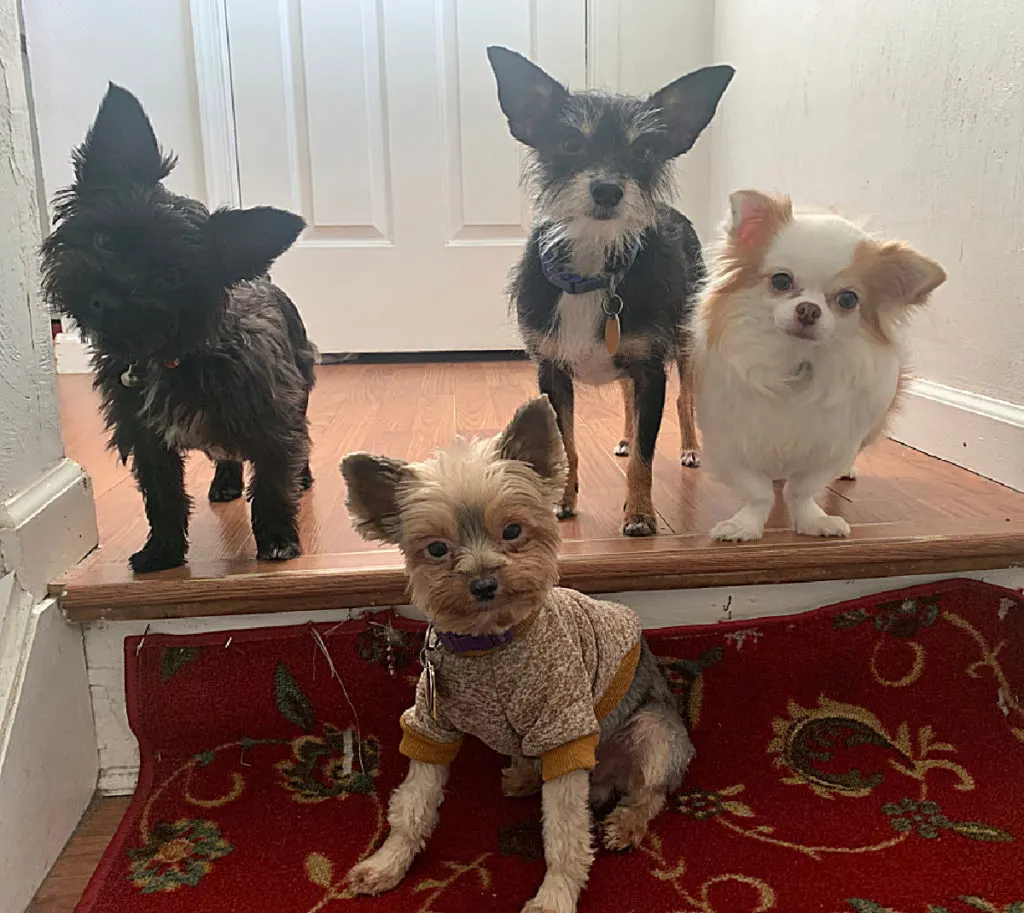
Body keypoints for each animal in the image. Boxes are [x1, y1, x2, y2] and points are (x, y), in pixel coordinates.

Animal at [40, 83, 315, 569]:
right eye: (104, 239)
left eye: (170, 279)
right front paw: (163, 553)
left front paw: (278, 540)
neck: (174, 355)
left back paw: (301, 478)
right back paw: (225, 483)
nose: (107, 299)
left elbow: (271, 486)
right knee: (228, 456)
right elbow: (162, 496)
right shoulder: (146, 438)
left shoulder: (273, 421)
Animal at [339, 397, 692, 913]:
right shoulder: (431, 726)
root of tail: (606, 777)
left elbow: (565, 834)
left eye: (512, 530)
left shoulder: (564, 730)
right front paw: (388, 863)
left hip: (653, 732)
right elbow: (413, 804)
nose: (484, 582)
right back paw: (525, 776)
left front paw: (554, 896)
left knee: (650, 792)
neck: (491, 645)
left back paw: (626, 823)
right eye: (437, 548)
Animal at [489, 44, 737, 536]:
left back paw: (690, 447)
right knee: (626, 399)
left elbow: (646, 452)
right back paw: (622, 436)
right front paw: (562, 503)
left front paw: (640, 513)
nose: (607, 189)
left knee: (684, 400)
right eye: (570, 144)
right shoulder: (552, 373)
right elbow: (566, 444)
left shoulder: (651, 372)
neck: (594, 266)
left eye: (643, 151)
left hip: (684, 346)